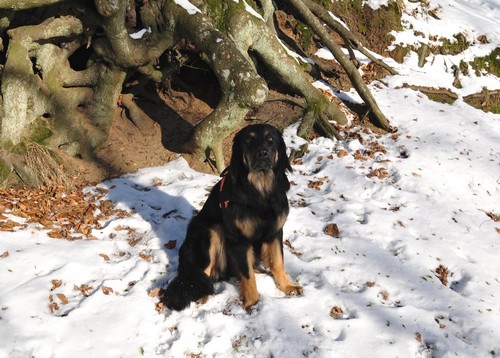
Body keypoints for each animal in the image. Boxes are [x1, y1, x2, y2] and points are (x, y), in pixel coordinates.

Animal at [162, 123, 302, 310]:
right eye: (249, 141)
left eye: (270, 140)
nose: (262, 153)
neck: (260, 189)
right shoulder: (238, 238)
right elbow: (247, 274)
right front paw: (252, 302)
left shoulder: (275, 231)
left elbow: (278, 261)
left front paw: (287, 286)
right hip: (210, 230)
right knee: (202, 275)